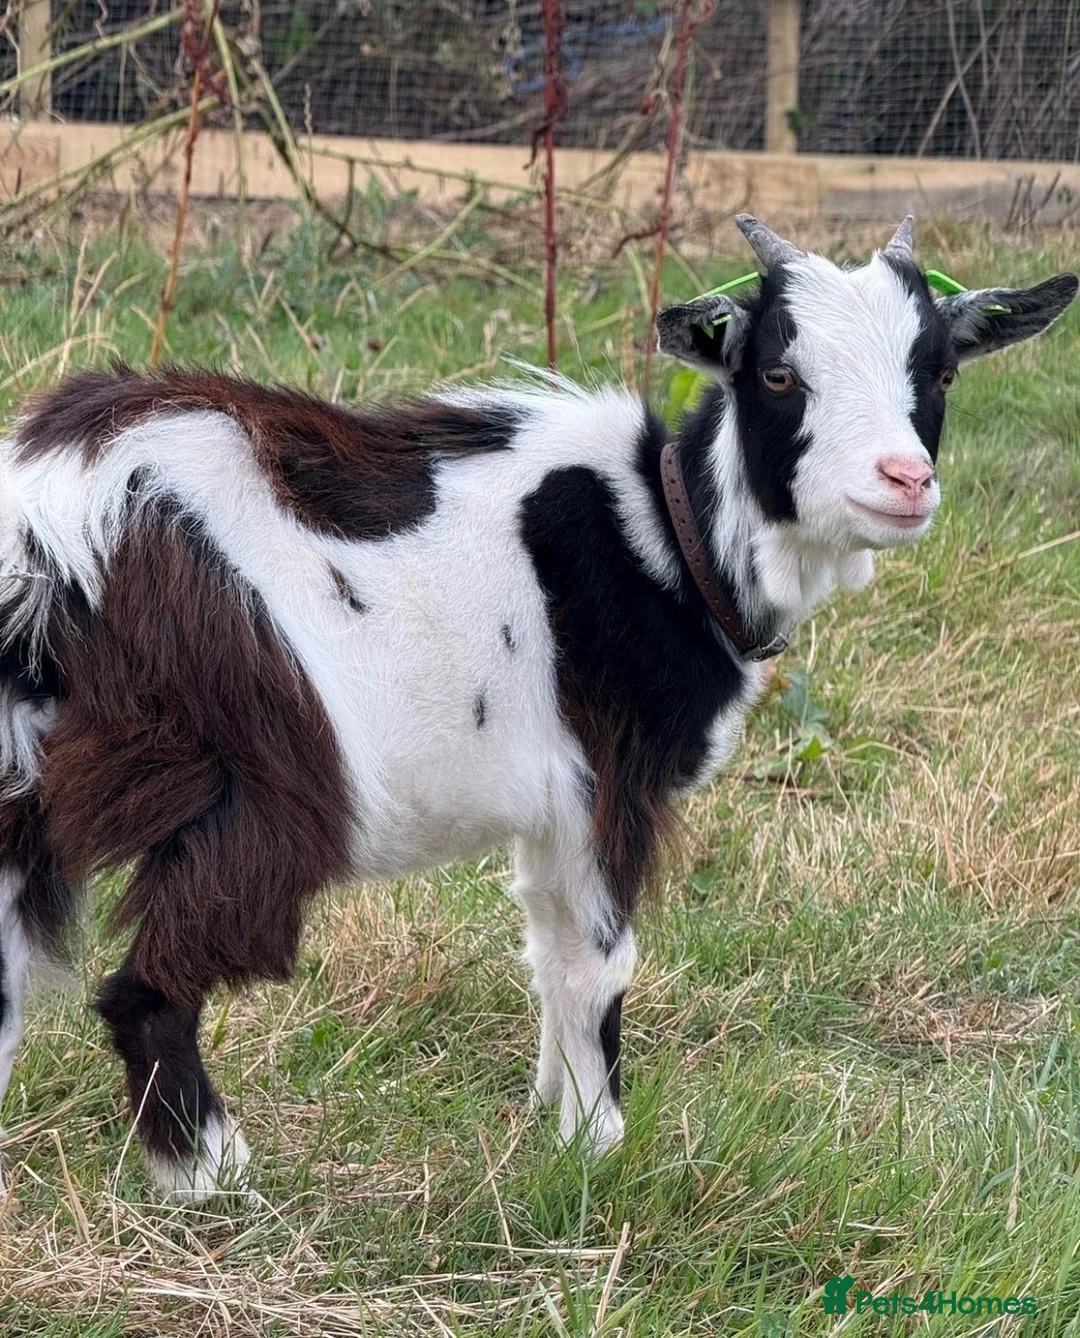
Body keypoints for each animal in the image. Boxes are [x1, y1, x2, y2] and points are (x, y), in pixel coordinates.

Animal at [0, 216, 1073, 1201]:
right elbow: (600, 963)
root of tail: (56, 503)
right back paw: (211, 1174)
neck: (671, 538)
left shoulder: (554, 807)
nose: (905, 481)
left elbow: (550, 950)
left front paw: (551, 1120)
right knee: (147, 985)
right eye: (777, 373)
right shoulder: (610, 779)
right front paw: (602, 1147)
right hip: (258, 766)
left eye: (940, 373)